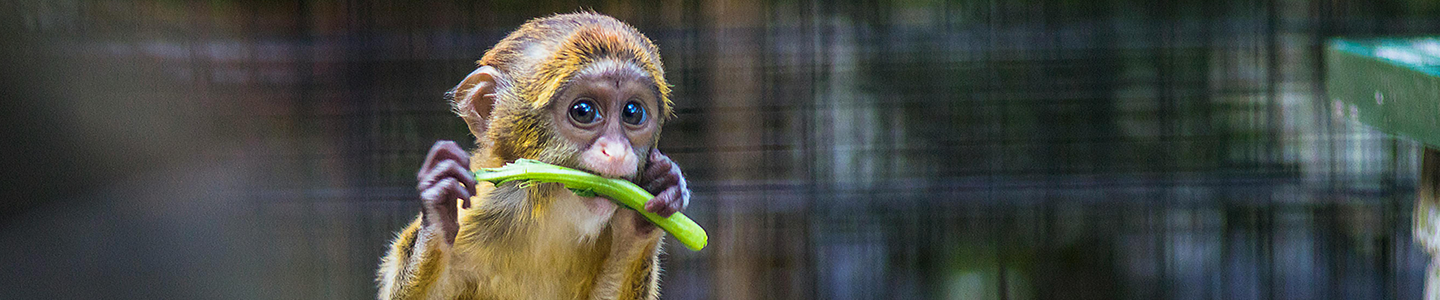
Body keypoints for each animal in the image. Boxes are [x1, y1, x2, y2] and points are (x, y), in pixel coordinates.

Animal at [377, 12, 691, 298]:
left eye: (632, 112)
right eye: (584, 111)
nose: (616, 152)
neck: (545, 216)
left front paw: (657, 192)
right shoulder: (475, 214)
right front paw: (438, 210)